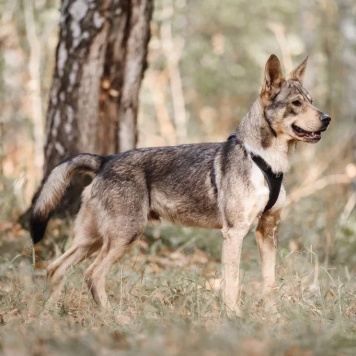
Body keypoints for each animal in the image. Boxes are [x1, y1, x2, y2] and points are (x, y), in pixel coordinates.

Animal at [29, 54, 330, 316]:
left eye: (311, 102)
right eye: (296, 104)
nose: (327, 119)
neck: (265, 162)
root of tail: (104, 160)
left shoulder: (267, 230)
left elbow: (269, 283)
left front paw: (273, 318)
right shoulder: (234, 233)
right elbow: (232, 283)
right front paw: (233, 317)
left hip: (93, 240)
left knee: (56, 268)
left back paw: (48, 315)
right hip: (123, 236)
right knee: (92, 274)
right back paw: (115, 317)